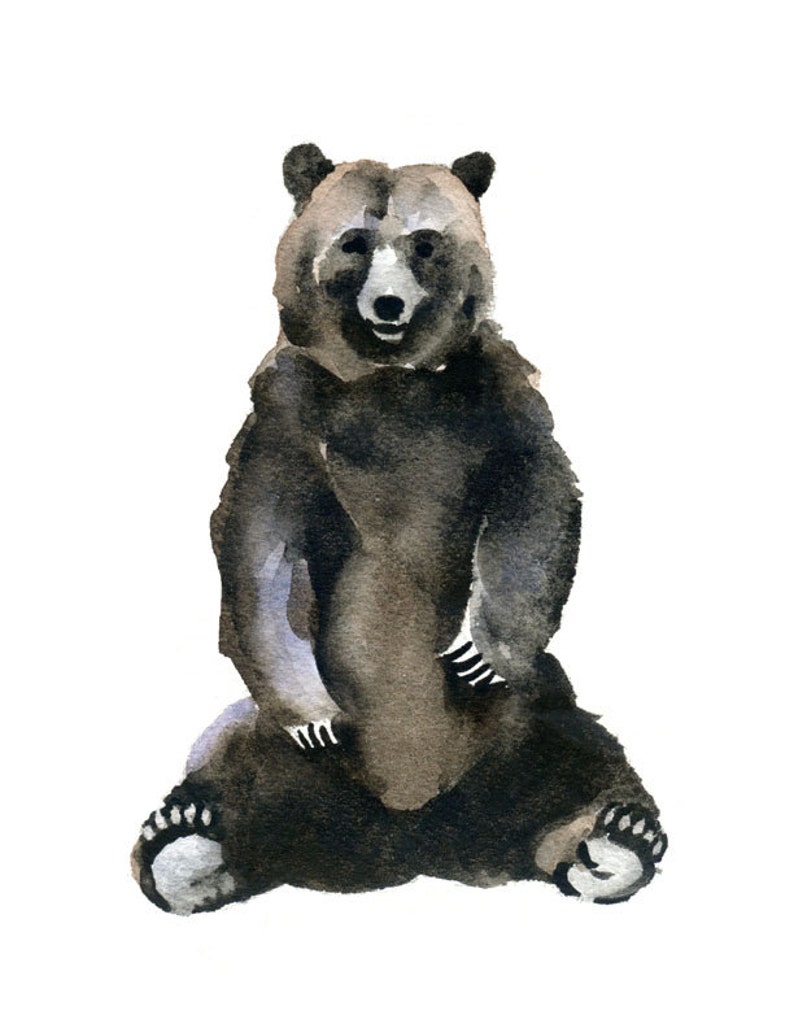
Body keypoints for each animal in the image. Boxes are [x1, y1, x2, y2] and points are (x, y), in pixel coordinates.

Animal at [131, 145, 666, 915]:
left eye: (425, 244)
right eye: (354, 242)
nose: (388, 304)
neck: (388, 378)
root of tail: (414, 835)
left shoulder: (492, 394)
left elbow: (536, 499)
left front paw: (476, 649)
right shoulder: (289, 410)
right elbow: (259, 542)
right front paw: (315, 713)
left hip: (528, 717)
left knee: (582, 754)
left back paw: (617, 838)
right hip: (274, 754)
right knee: (233, 771)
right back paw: (187, 842)